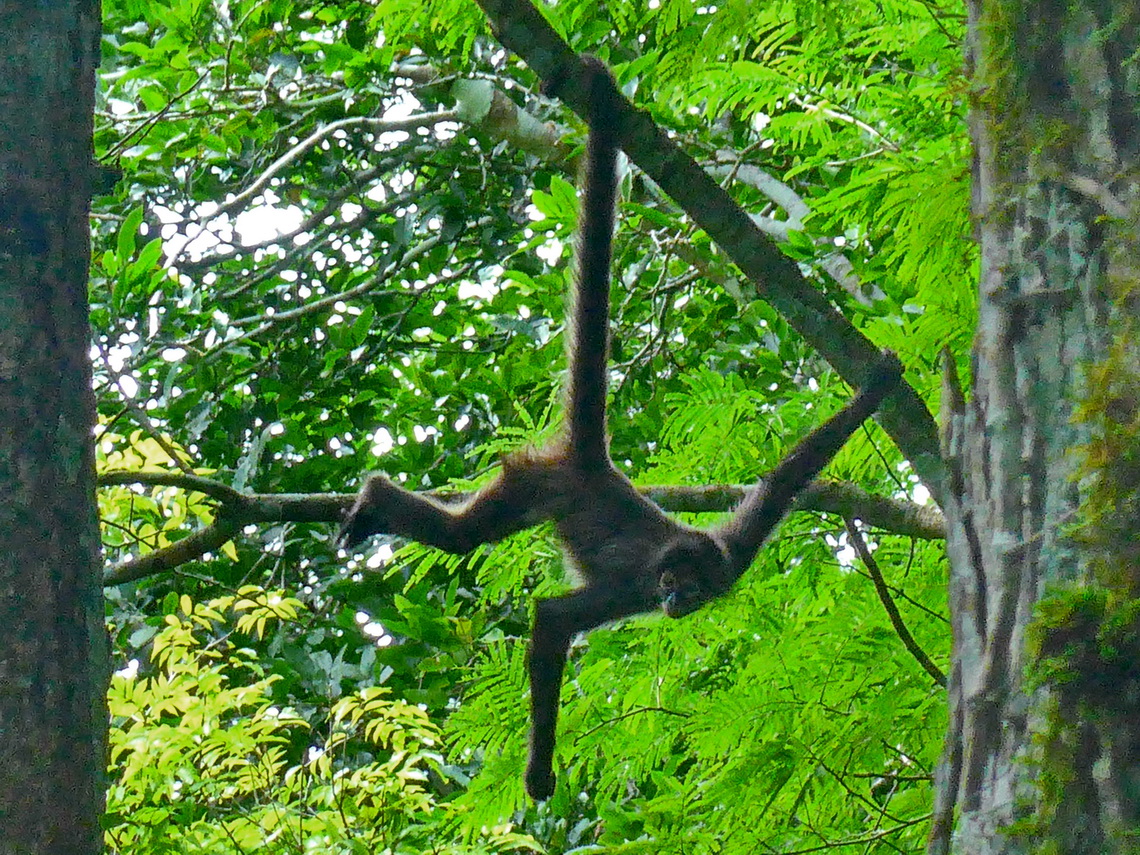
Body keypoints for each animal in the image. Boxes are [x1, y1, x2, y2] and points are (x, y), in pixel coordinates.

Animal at [337, 57, 898, 802]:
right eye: (675, 583)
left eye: (699, 591)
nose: (679, 602)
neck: (670, 558)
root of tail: (592, 464)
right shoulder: (634, 581)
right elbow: (550, 619)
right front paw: (539, 773)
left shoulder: (735, 548)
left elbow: (786, 477)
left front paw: (879, 386)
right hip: (535, 483)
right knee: (463, 539)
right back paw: (375, 498)